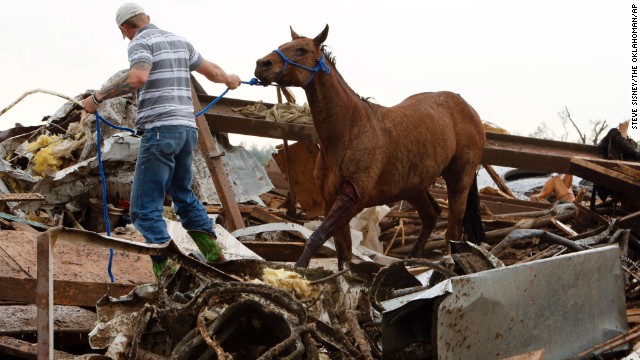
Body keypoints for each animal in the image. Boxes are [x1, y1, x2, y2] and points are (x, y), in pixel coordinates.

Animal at [255, 25, 484, 268]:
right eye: (282, 46)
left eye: (301, 50)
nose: (262, 65)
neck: (349, 131)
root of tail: (468, 108)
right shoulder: (330, 198)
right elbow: (343, 249)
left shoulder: (352, 199)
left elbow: (318, 237)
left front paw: (300, 269)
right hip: (413, 187)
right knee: (431, 215)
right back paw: (412, 260)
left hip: (458, 181)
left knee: (453, 231)